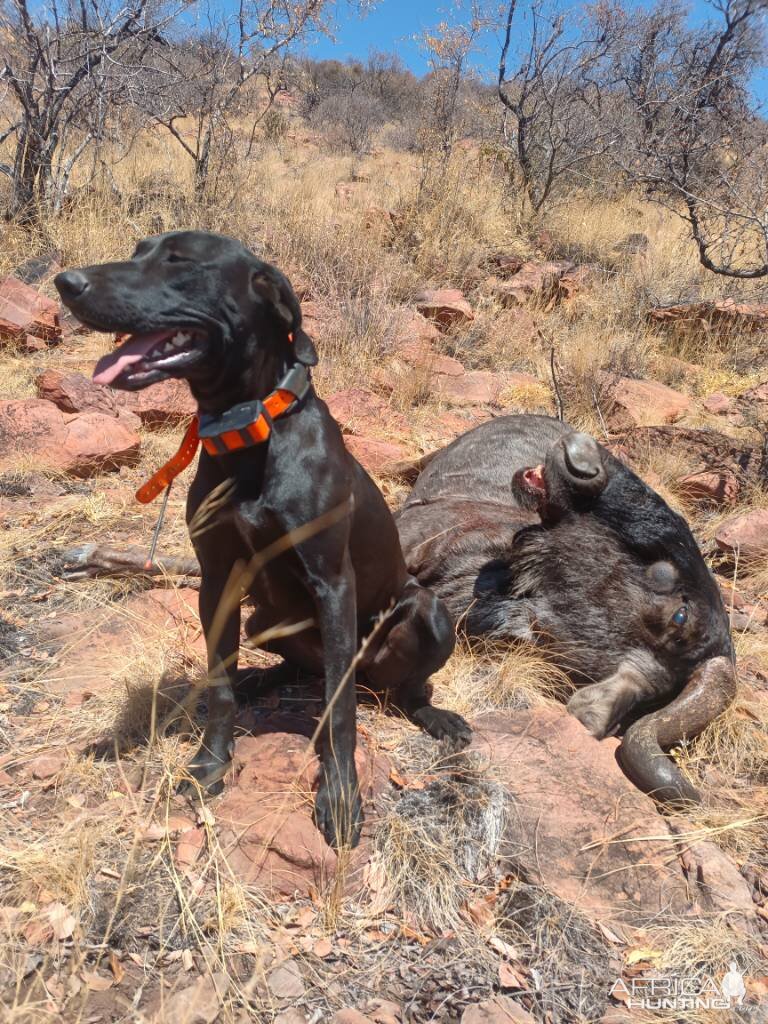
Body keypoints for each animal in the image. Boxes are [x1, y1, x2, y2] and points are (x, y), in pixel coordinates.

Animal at [55, 232, 468, 847]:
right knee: (294, 669)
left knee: (395, 688)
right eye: (139, 249)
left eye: (179, 259)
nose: (66, 283)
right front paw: (211, 763)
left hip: (428, 613)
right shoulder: (218, 580)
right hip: (261, 619)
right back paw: (257, 679)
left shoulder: (333, 584)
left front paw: (339, 794)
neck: (247, 429)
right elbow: (219, 685)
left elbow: (339, 710)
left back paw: (432, 715)